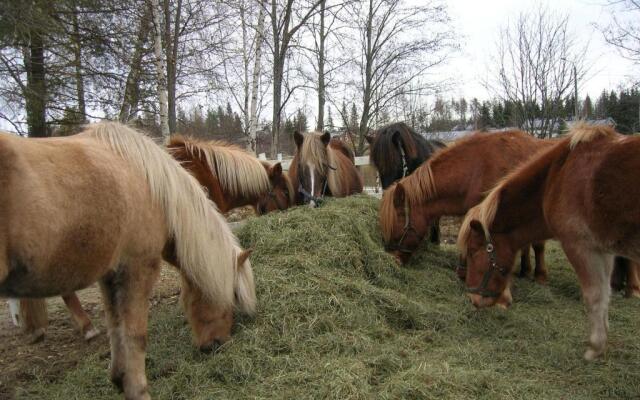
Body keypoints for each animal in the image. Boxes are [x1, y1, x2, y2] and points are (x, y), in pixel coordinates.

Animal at [0, 122, 255, 400]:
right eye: (233, 295)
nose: (217, 345)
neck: (154, 187)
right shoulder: (137, 268)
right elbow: (135, 335)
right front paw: (137, 389)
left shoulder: (110, 273)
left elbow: (115, 326)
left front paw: (118, 377)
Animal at [458, 124, 640, 360]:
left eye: (473, 252)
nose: (473, 299)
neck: (556, 178)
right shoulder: (603, 250)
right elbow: (604, 294)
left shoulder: (581, 247)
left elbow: (595, 296)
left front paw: (594, 347)